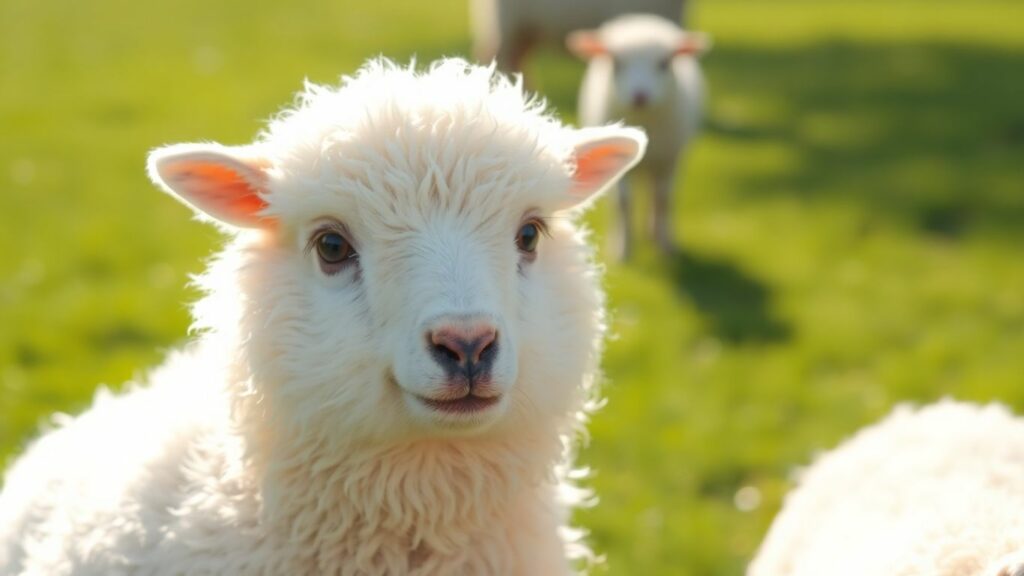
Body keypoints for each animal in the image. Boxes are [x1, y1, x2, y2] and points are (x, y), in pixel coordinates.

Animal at [567, 14, 709, 259]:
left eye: (664, 64)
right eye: (616, 63)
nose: (640, 96)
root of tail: (642, 19)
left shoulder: (668, 160)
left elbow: (663, 199)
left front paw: (664, 245)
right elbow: (624, 203)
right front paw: (623, 249)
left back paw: (654, 232)